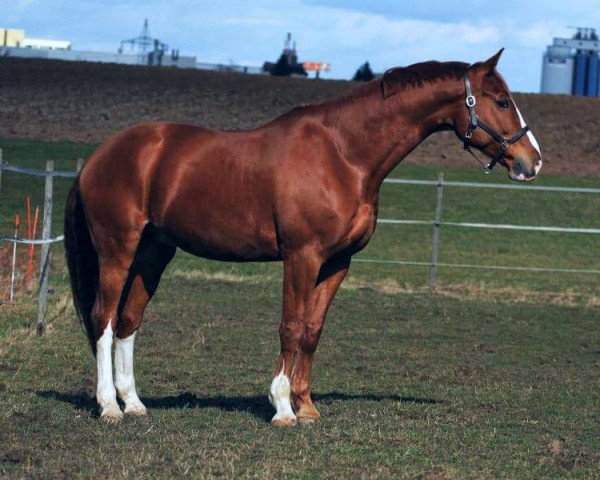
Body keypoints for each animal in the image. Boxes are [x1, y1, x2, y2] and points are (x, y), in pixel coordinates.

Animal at [65, 50, 544, 426]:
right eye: (501, 100)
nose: (533, 161)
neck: (343, 154)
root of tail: (99, 155)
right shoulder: (302, 257)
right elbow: (291, 326)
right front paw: (281, 408)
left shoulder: (337, 262)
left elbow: (313, 329)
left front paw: (307, 406)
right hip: (118, 251)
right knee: (103, 318)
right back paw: (109, 407)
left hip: (153, 253)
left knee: (129, 320)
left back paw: (134, 404)